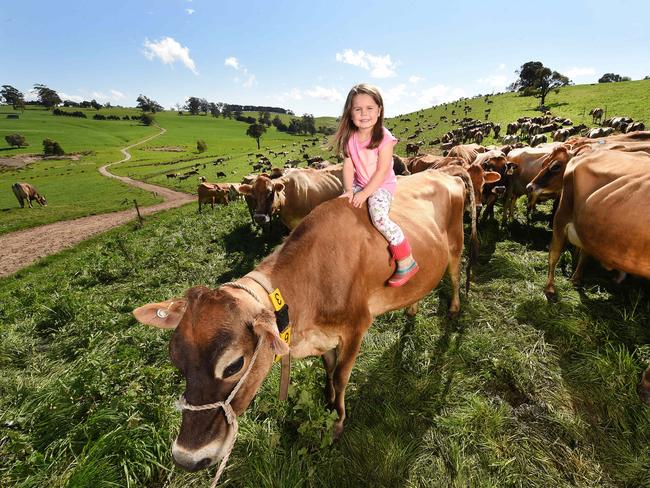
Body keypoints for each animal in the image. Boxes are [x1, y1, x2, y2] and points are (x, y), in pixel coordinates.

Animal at [133, 170, 476, 474]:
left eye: (234, 365)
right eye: (176, 361)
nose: (187, 458)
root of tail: (447, 173)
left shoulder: (356, 328)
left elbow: (341, 377)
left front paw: (338, 420)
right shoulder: (323, 338)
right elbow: (329, 370)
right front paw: (328, 400)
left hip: (456, 243)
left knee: (455, 273)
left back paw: (454, 309)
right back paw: (411, 310)